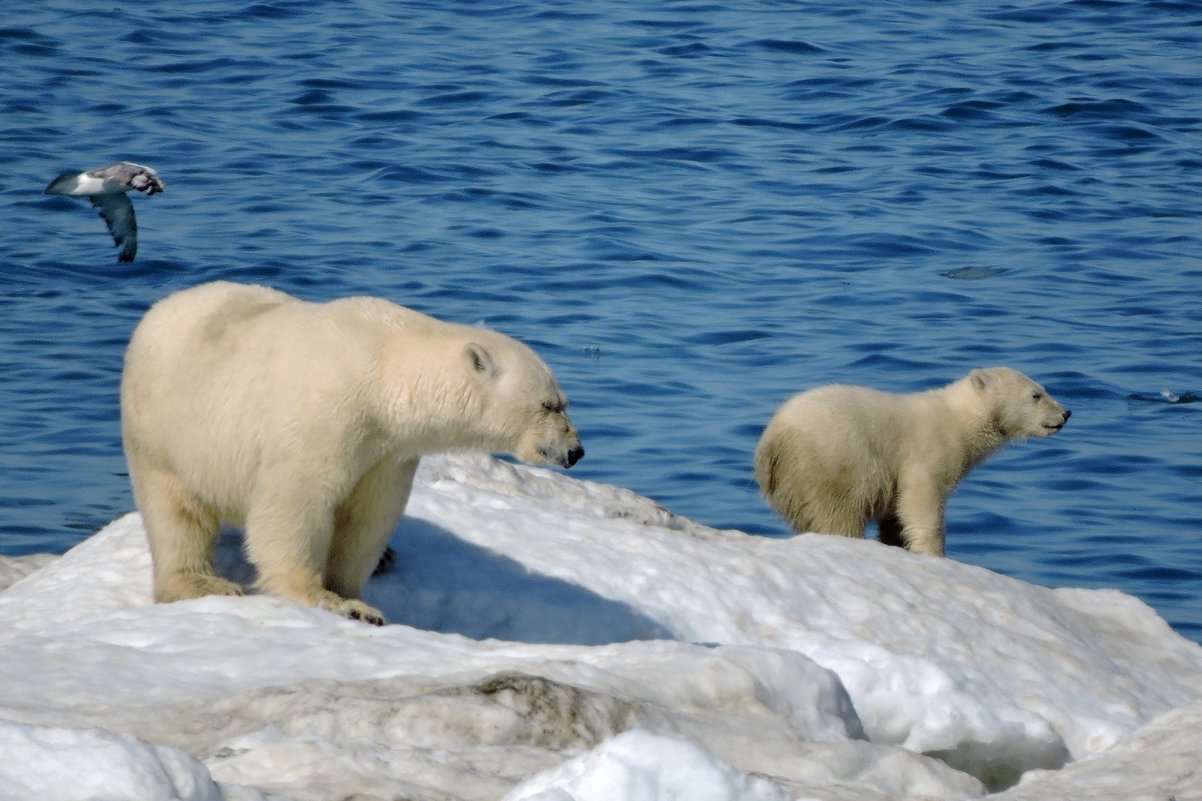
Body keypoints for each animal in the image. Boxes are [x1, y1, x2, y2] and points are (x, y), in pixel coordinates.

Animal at [124, 280, 584, 625]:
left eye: (562, 401)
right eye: (549, 405)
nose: (575, 450)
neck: (387, 372)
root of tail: (159, 309)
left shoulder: (388, 451)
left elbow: (367, 518)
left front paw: (356, 597)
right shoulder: (328, 416)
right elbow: (295, 502)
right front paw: (327, 599)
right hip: (165, 428)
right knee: (176, 513)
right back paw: (201, 583)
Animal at [759, 368, 1072, 555]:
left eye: (1043, 389)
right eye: (1036, 394)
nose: (1066, 412)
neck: (959, 419)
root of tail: (774, 439)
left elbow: (895, 515)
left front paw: (899, 543)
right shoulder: (929, 451)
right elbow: (921, 500)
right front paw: (932, 552)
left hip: (790, 483)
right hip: (835, 461)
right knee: (839, 512)